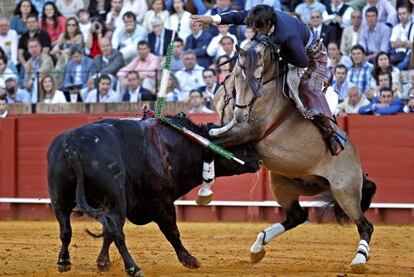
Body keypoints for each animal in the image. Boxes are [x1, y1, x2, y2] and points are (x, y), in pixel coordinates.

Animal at [47, 114, 260, 274]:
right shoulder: (160, 201)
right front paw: (190, 260)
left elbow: (106, 234)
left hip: (60, 200)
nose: (258, 160)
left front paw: (103, 263)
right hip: (116, 200)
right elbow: (172, 231)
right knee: (116, 232)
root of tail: (74, 145)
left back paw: (63, 262)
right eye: (236, 145)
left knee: (66, 230)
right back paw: (133, 267)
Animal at [209, 35, 376, 268]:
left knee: (364, 225)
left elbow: (211, 140)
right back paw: (257, 247)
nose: (241, 115)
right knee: (296, 216)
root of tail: (359, 167)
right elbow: (211, 136)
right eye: (239, 75)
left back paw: (359, 260)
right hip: (283, 182)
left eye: (258, 77)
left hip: (345, 191)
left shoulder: (247, 132)